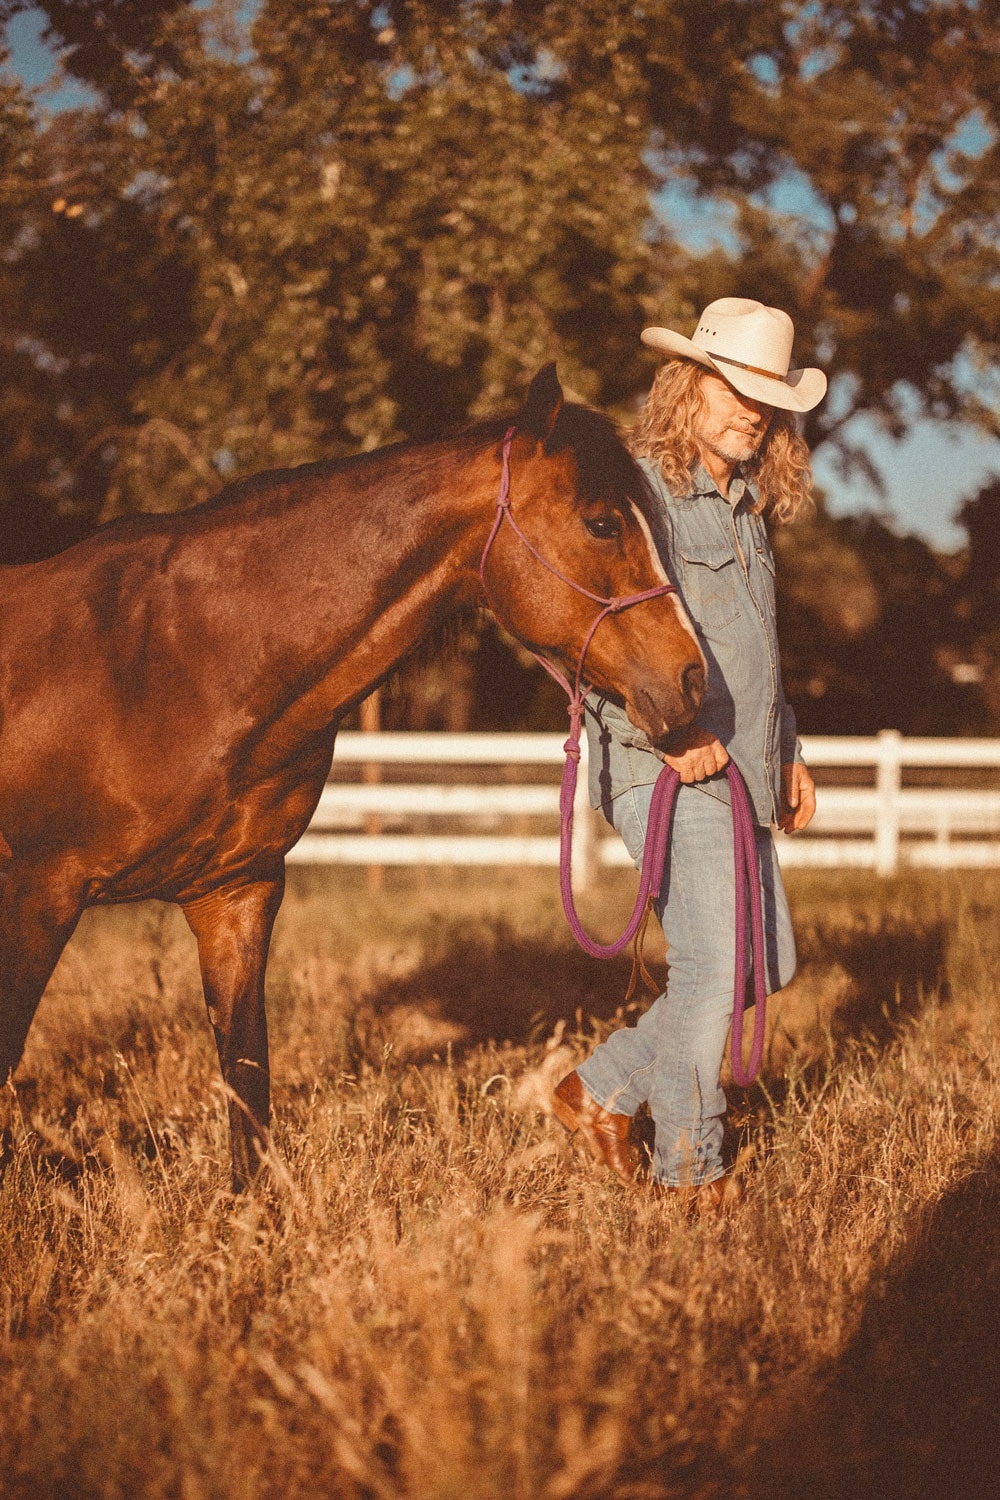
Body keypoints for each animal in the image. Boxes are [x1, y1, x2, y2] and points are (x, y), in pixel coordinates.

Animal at [0, 364, 704, 1189]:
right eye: (601, 524)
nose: (692, 680)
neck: (169, 660)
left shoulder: (235, 893)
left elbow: (246, 1079)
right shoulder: (40, 892)